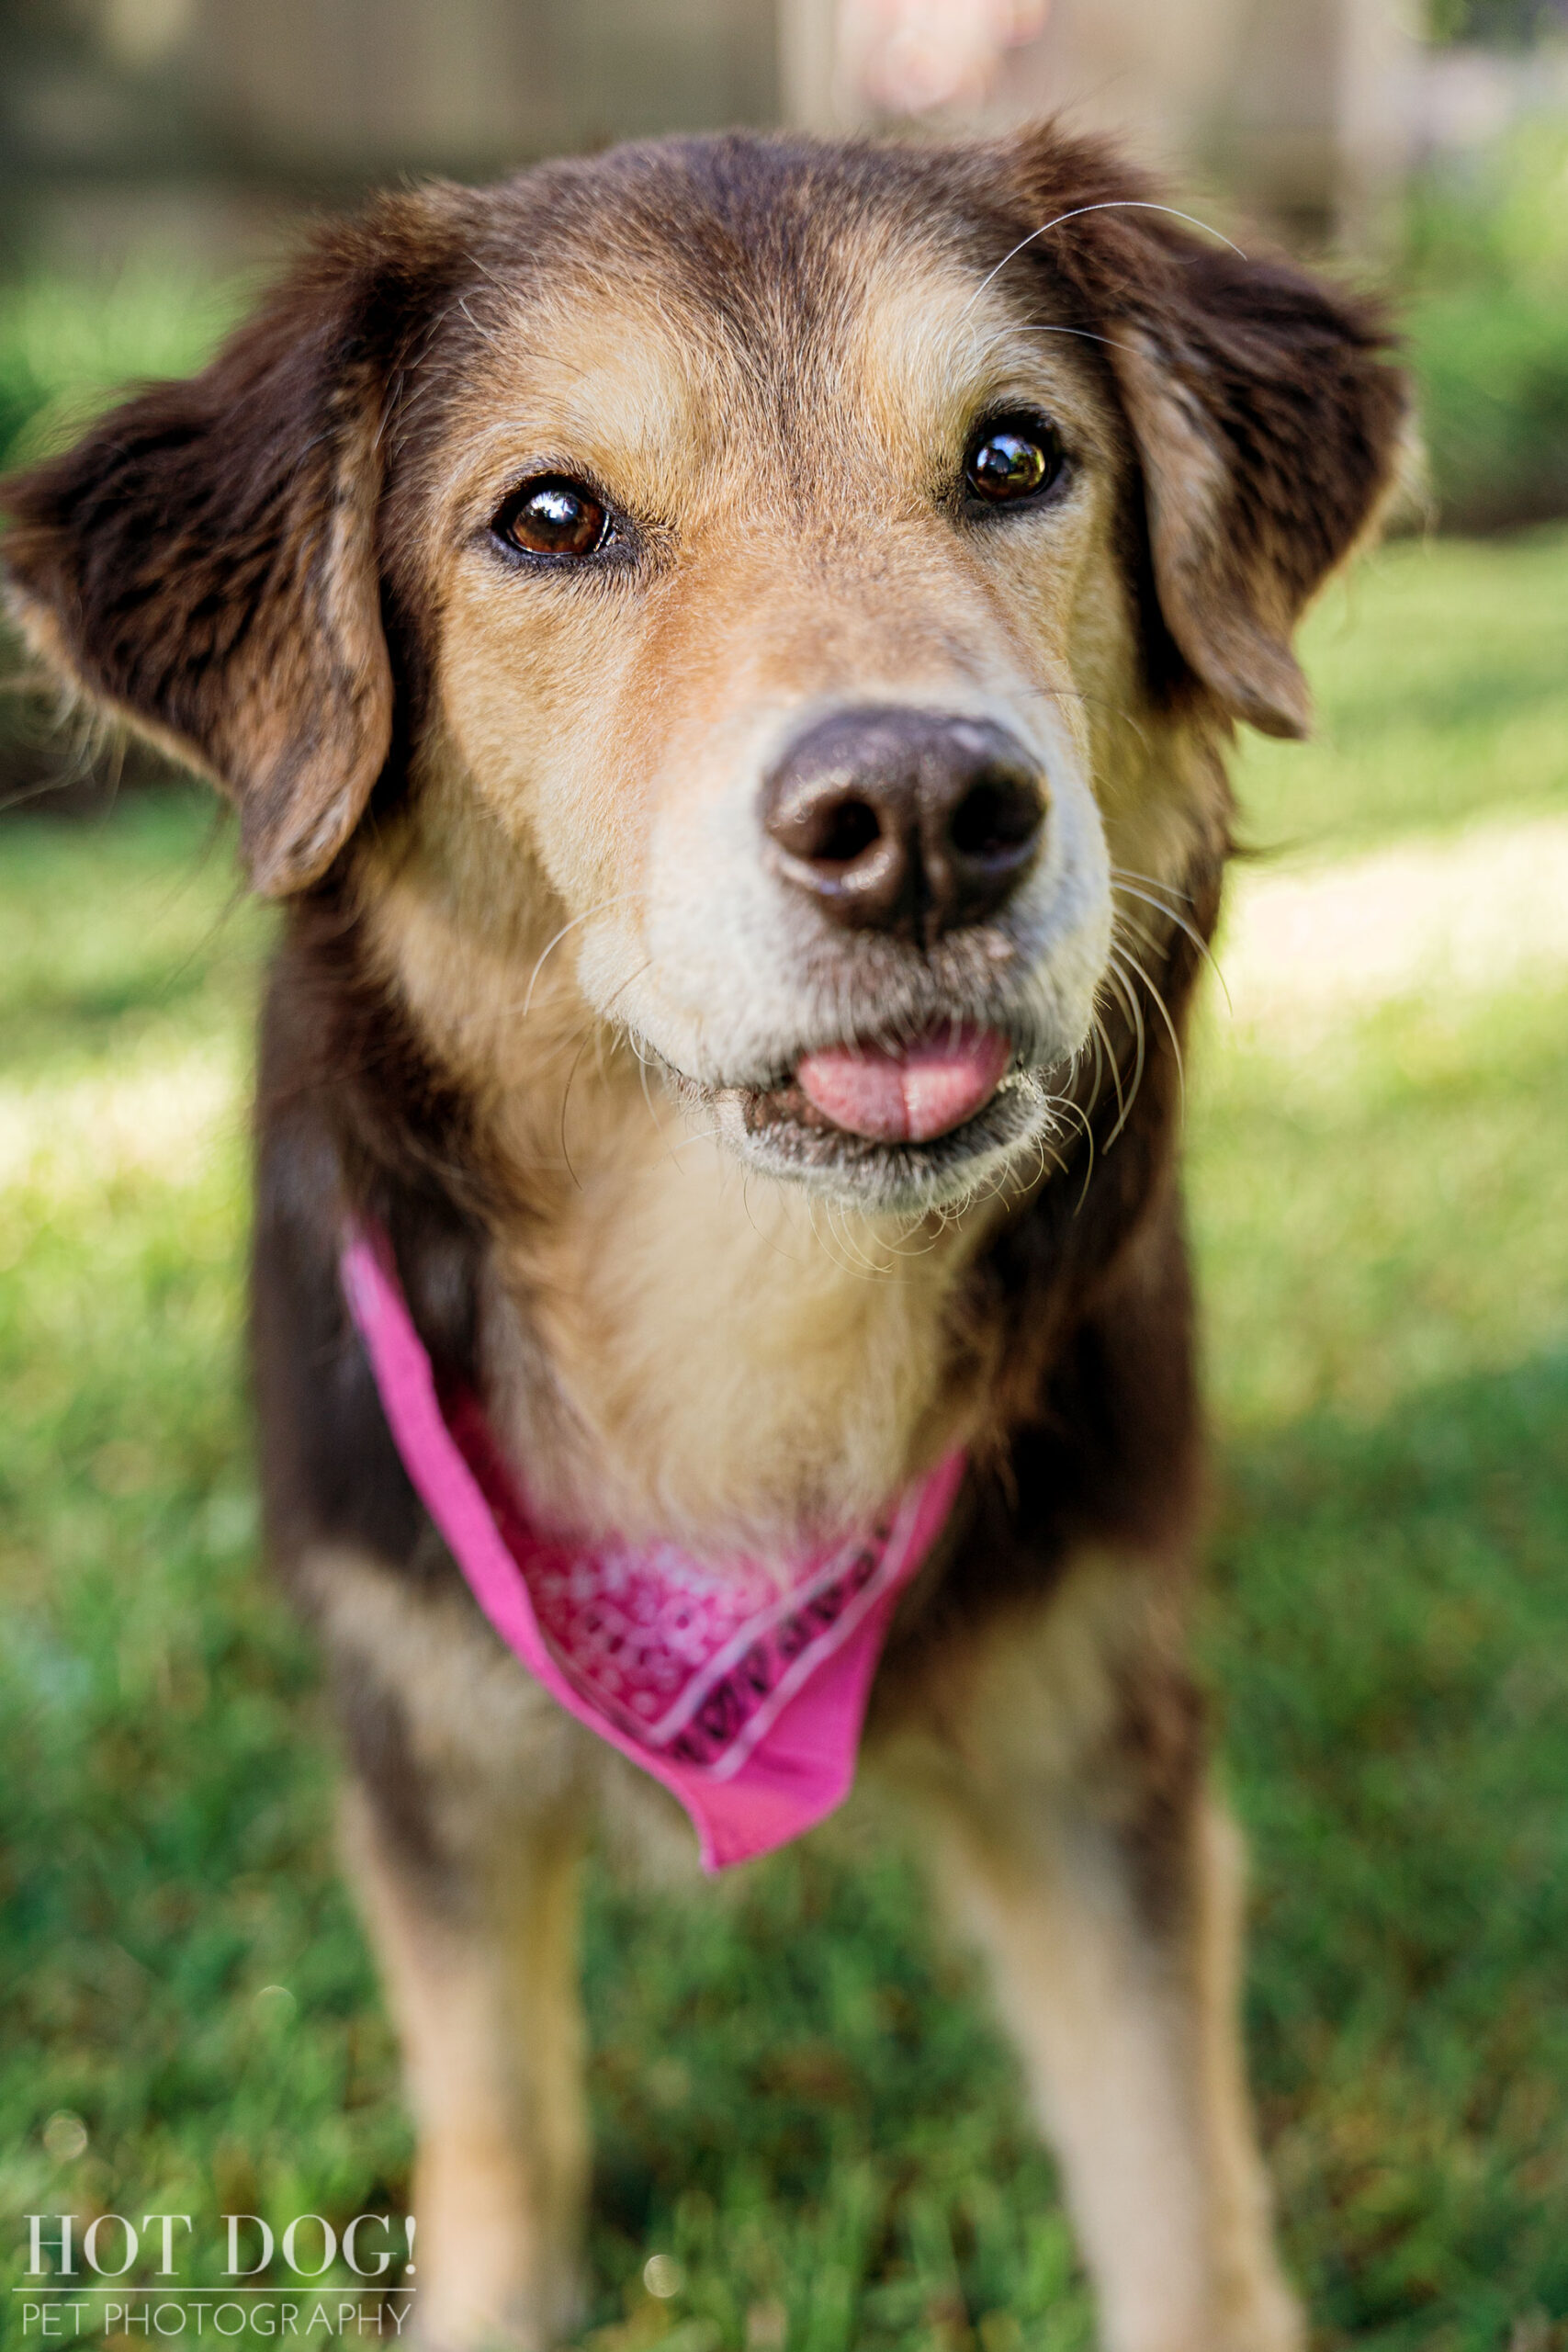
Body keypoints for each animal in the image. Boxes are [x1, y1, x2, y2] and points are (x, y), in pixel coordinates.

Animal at [6, 124, 1410, 2352]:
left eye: (1012, 456)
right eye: (550, 518)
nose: (919, 819)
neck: (738, 1330)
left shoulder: (1094, 1737)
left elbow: (1174, 2193)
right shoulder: (427, 1731)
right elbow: (495, 2120)